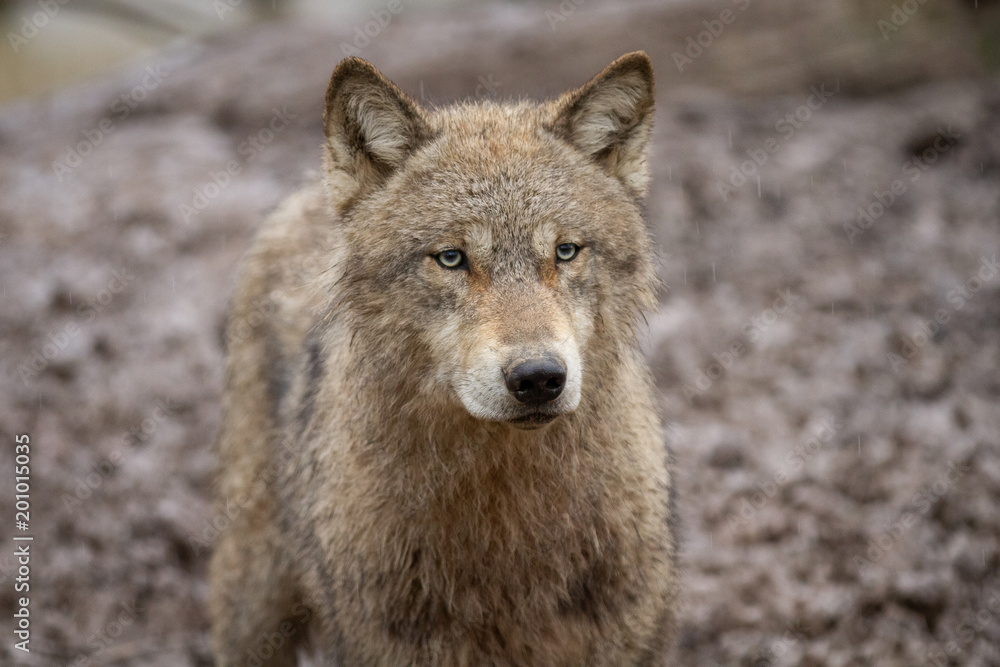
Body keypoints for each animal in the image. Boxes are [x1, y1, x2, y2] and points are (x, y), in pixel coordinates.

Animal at [209, 51, 678, 666]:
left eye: (565, 251)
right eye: (452, 258)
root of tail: (307, 192)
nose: (538, 378)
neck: (505, 520)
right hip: (254, 601)